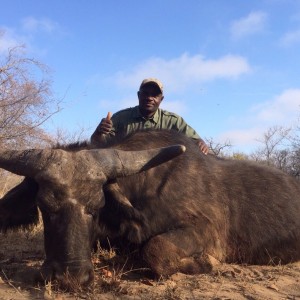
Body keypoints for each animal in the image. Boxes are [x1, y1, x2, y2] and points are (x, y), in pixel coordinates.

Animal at [0, 130, 300, 288]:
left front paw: (207, 263)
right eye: (44, 206)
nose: (70, 277)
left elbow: (155, 249)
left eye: (96, 206)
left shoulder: (205, 232)